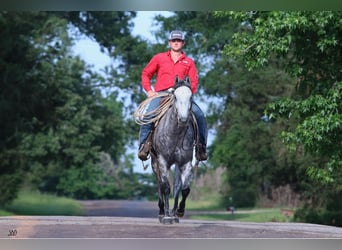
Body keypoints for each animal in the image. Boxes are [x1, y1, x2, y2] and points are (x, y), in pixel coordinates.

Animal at [150, 76, 195, 225]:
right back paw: (162, 211)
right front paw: (166, 216)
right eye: (175, 96)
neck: (175, 134)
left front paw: (179, 212)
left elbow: (184, 189)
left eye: (191, 97)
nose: (183, 119)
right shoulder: (162, 161)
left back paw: (174, 213)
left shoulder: (186, 162)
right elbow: (165, 187)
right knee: (160, 184)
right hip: (155, 162)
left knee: (176, 186)